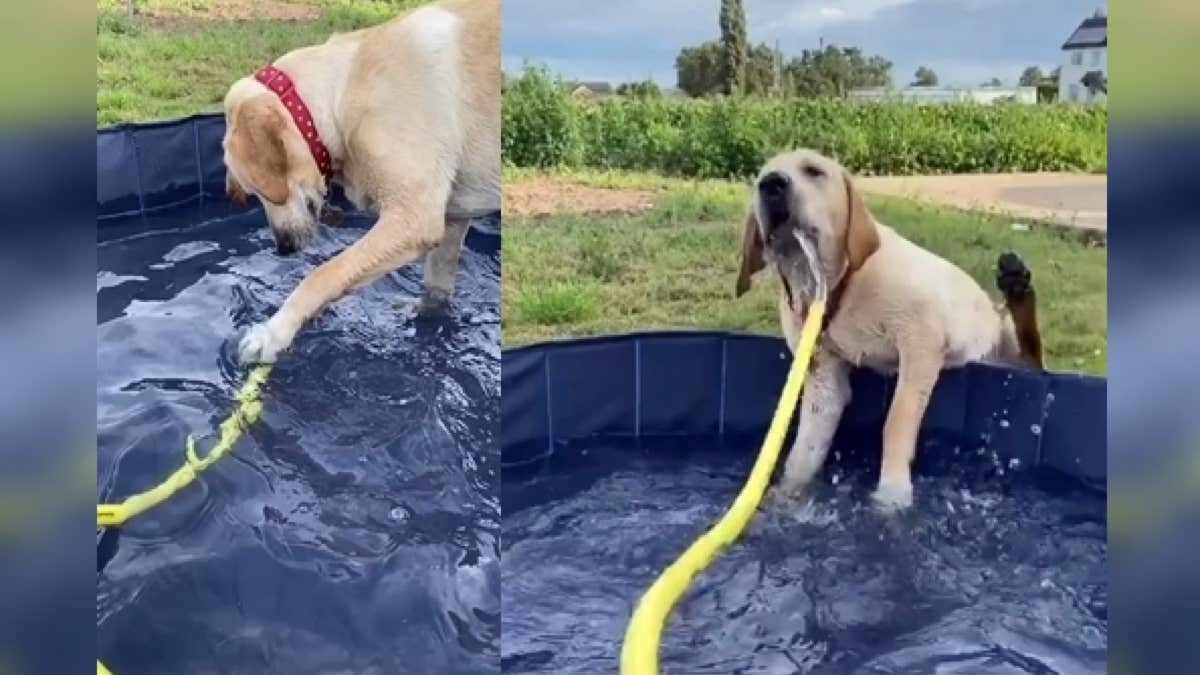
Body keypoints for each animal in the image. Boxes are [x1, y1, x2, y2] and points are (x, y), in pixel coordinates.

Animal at [223, 0, 499, 362]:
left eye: (260, 190)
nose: (283, 249)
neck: (342, 89)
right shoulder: (451, 220)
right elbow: (437, 287)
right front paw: (425, 315)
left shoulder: (414, 219)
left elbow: (323, 274)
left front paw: (274, 331)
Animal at [729, 149, 1041, 509]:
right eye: (759, 179)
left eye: (813, 171)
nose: (771, 185)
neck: (839, 286)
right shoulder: (823, 377)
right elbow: (806, 443)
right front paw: (788, 491)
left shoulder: (921, 343)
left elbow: (896, 422)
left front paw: (892, 494)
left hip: (1006, 343)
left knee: (1033, 354)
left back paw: (1017, 284)